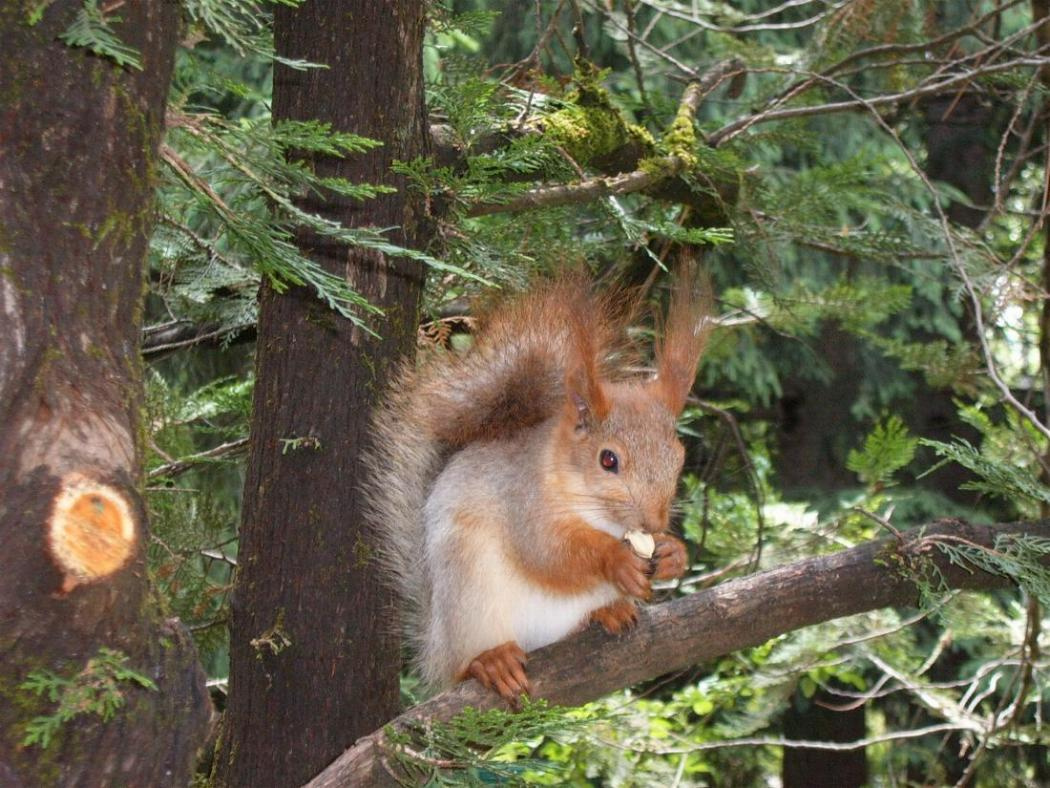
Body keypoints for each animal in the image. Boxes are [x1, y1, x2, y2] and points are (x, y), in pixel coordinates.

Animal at [364, 265, 710, 703]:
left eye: (678, 458)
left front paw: (672, 554)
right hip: (468, 597)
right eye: (608, 460)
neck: (593, 510)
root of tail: (434, 646)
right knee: (465, 662)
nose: (652, 523)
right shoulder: (521, 497)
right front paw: (614, 558)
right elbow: (546, 551)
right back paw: (490, 662)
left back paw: (606, 611)